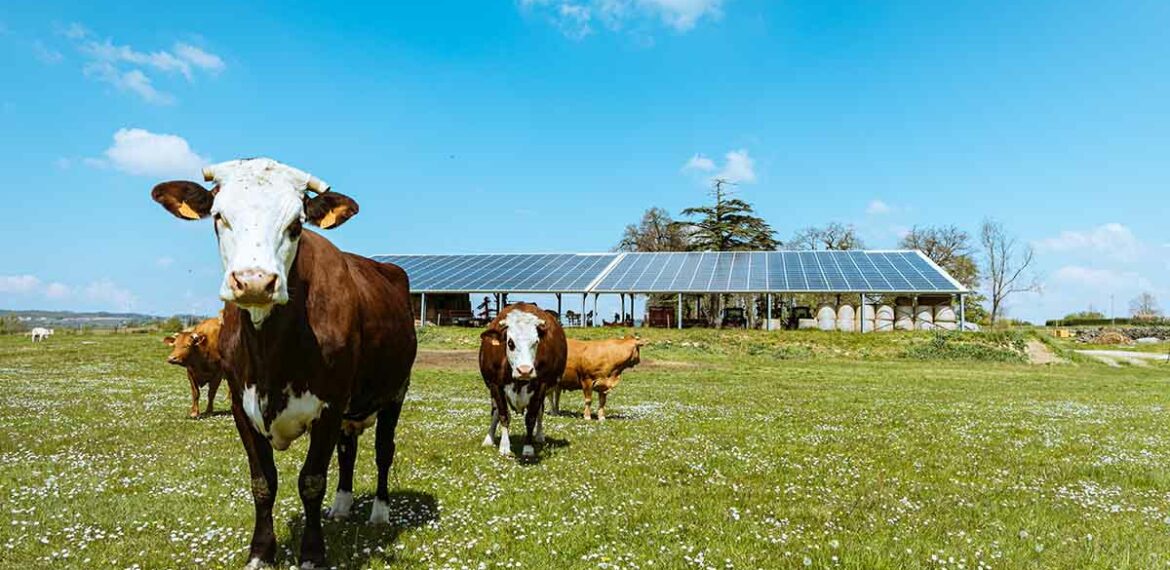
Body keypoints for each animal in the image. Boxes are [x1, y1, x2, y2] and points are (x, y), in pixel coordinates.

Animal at [149, 156, 416, 570]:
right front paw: (261, 552)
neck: (269, 356)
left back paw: (379, 513)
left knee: (383, 451)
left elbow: (312, 481)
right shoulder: (241, 404)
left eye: (296, 224)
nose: (255, 281)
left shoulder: (330, 405)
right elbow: (263, 482)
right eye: (219, 216)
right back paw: (341, 507)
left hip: (395, 393)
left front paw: (312, 554)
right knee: (348, 450)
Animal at [475, 304, 566, 458]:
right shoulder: (495, 385)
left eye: (536, 342)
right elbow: (503, 415)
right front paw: (504, 447)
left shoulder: (541, 386)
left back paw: (539, 436)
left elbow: (531, 418)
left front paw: (528, 448)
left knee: (540, 413)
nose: (525, 370)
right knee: (495, 412)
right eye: (510, 343)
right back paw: (489, 438)